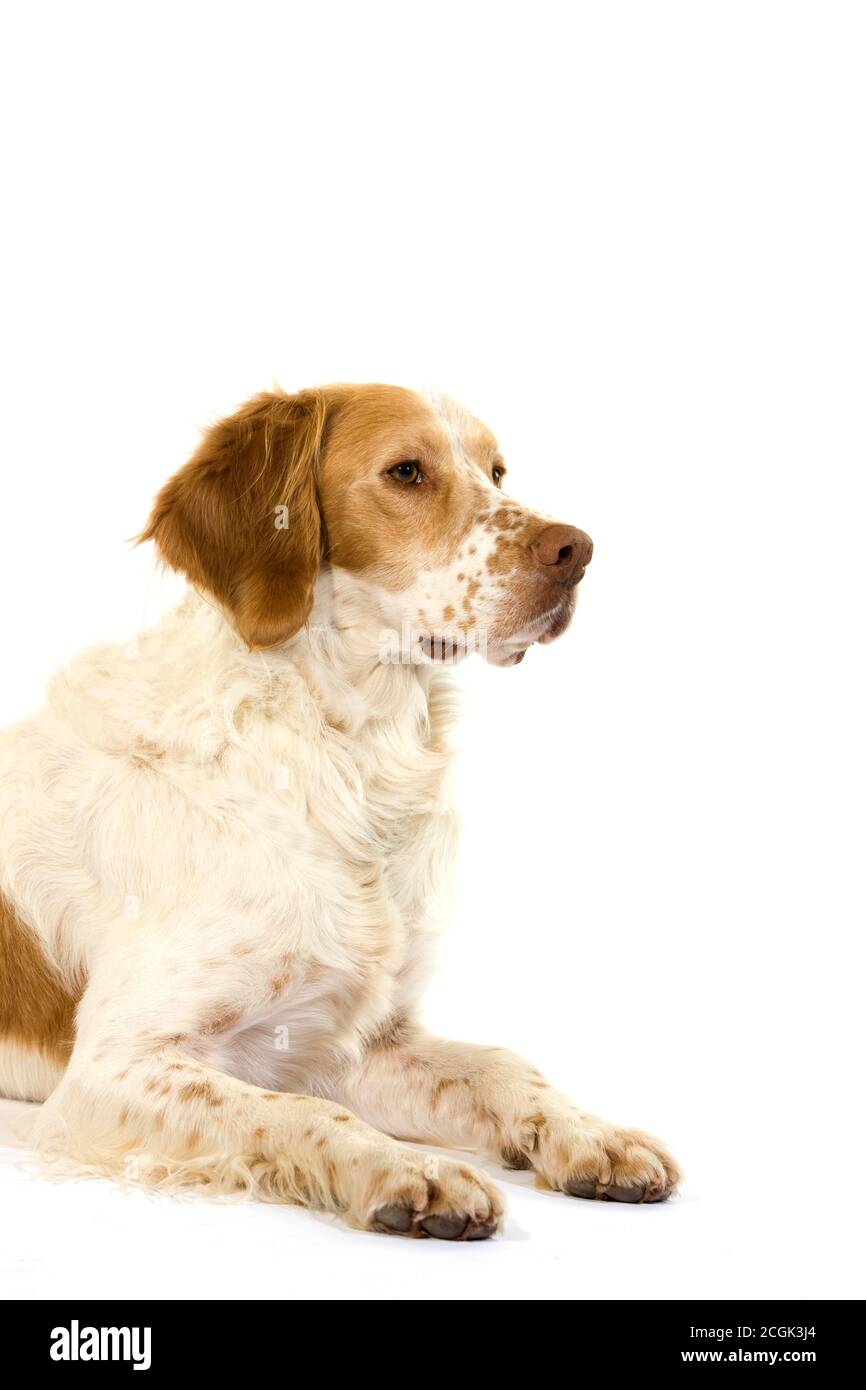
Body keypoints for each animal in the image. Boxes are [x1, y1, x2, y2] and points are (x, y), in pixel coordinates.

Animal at [0, 383, 678, 1239]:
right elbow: (297, 1116)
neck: (347, 759)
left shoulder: (342, 1044)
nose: (577, 550)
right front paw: (410, 1170)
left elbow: (499, 1063)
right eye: (407, 471)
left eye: (496, 470)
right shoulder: (113, 1066)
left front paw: (590, 1134)